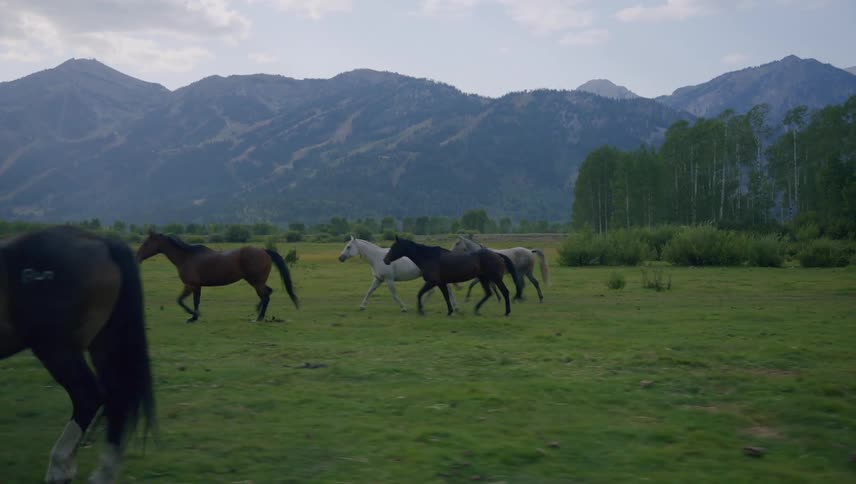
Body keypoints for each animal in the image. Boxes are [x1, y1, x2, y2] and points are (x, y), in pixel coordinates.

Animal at [0, 226, 154, 484]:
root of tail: (102, 242)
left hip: (56, 349)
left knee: (88, 395)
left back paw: (59, 466)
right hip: (103, 345)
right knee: (116, 396)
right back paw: (101, 471)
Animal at [136, 231, 298, 322]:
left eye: (146, 243)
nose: (137, 257)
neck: (186, 257)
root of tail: (264, 251)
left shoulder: (190, 285)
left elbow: (180, 301)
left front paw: (192, 315)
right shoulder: (197, 286)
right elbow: (195, 302)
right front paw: (194, 317)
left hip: (256, 282)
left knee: (265, 297)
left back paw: (258, 318)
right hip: (256, 281)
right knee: (268, 293)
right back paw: (258, 311)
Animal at [383, 236, 523, 316]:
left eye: (394, 247)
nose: (385, 260)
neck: (428, 257)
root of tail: (498, 254)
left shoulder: (433, 282)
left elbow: (420, 294)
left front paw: (420, 310)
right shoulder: (441, 283)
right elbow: (446, 296)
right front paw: (450, 311)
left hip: (495, 278)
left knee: (504, 292)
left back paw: (507, 312)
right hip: (484, 279)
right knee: (488, 293)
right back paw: (476, 310)